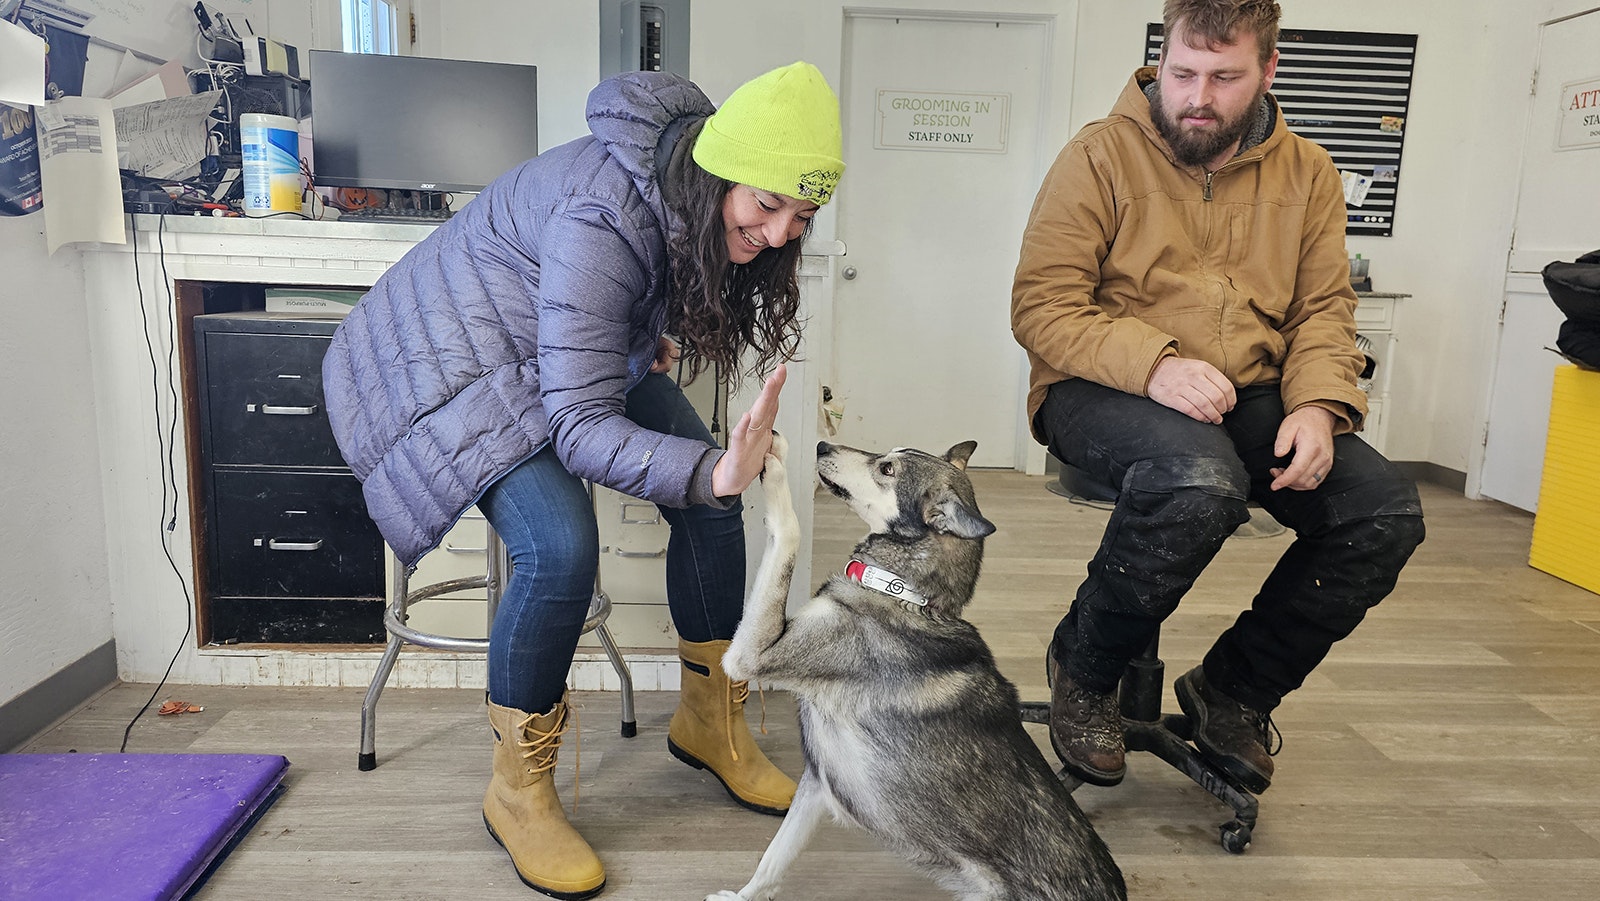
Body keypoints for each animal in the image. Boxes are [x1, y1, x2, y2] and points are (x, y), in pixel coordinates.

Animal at [700, 438, 1126, 901]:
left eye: (886, 469)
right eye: (885, 455)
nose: (822, 444)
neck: (901, 592)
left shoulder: (751, 654)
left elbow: (789, 528)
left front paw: (771, 457)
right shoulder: (816, 784)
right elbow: (773, 858)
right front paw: (743, 897)